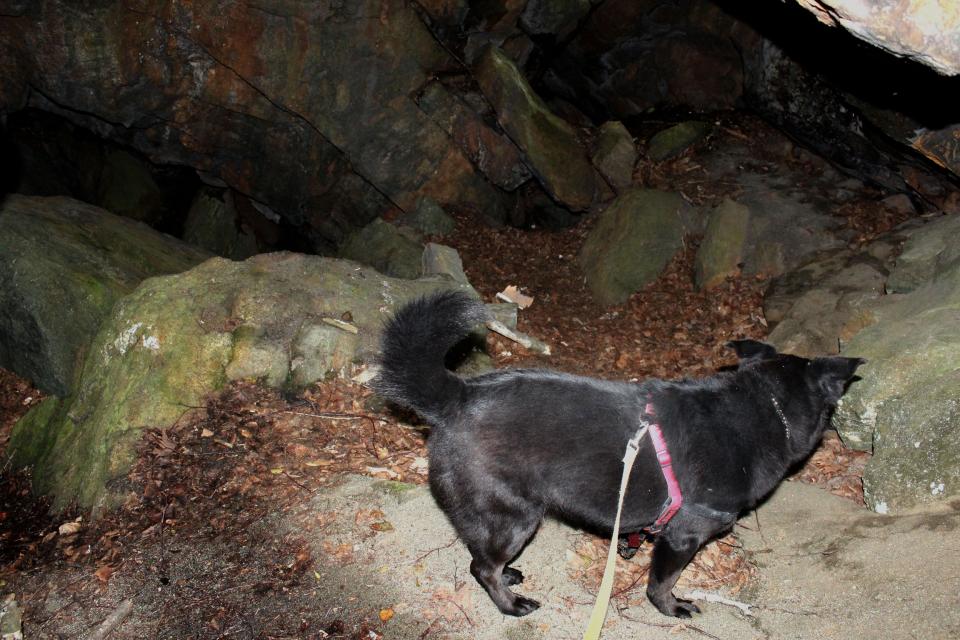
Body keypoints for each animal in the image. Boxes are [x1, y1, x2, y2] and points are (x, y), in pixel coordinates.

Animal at [374, 292, 864, 616]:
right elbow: (663, 582)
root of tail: (459, 395)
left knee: (479, 552)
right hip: (515, 516)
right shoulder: (682, 535)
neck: (763, 405)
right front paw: (672, 608)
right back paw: (511, 604)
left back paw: (511, 575)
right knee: (482, 568)